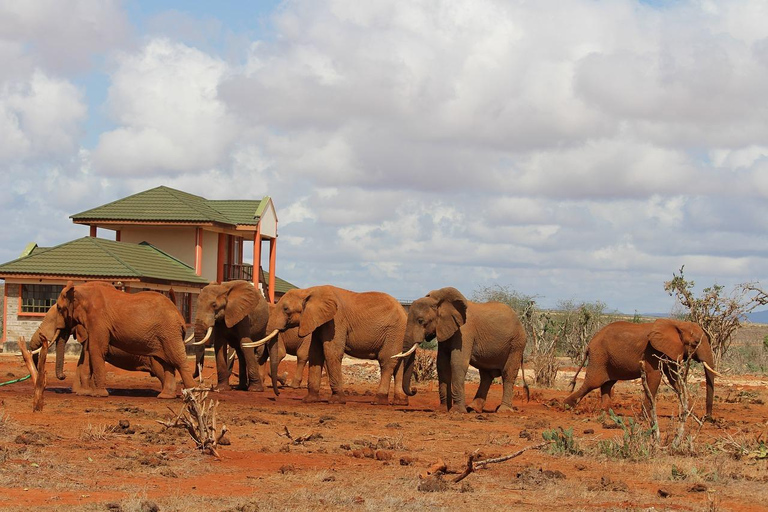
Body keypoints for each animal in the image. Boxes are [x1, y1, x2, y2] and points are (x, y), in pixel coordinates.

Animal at [31, 282, 195, 398]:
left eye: (59, 308)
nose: (63, 376)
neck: (81, 289)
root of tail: (178, 314)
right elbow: (88, 354)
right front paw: (84, 393)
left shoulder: (98, 320)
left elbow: (96, 350)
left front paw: (97, 395)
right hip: (162, 336)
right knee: (167, 363)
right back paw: (165, 396)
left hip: (169, 332)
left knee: (177, 361)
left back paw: (192, 394)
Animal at [260, 284, 408, 404]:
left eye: (286, 309)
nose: (278, 394)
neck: (308, 291)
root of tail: (404, 310)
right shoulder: (318, 322)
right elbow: (315, 354)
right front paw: (309, 400)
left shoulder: (336, 321)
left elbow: (331, 353)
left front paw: (336, 401)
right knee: (399, 362)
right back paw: (400, 401)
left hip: (394, 331)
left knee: (387, 361)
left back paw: (378, 401)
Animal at [396, 286, 528, 414]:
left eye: (421, 321)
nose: (414, 389)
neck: (438, 301)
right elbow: (442, 365)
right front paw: (443, 410)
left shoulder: (465, 333)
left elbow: (457, 364)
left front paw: (457, 411)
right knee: (486, 376)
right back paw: (473, 409)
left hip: (517, 344)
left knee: (508, 373)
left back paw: (503, 410)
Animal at [564, 318, 720, 418]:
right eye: (695, 343)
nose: (707, 417)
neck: (678, 324)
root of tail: (589, 344)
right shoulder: (653, 352)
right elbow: (655, 377)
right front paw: (645, 417)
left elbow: (675, 380)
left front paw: (691, 415)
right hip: (599, 356)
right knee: (593, 383)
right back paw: (566, 406)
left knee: (607, 384)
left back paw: (606, 413)